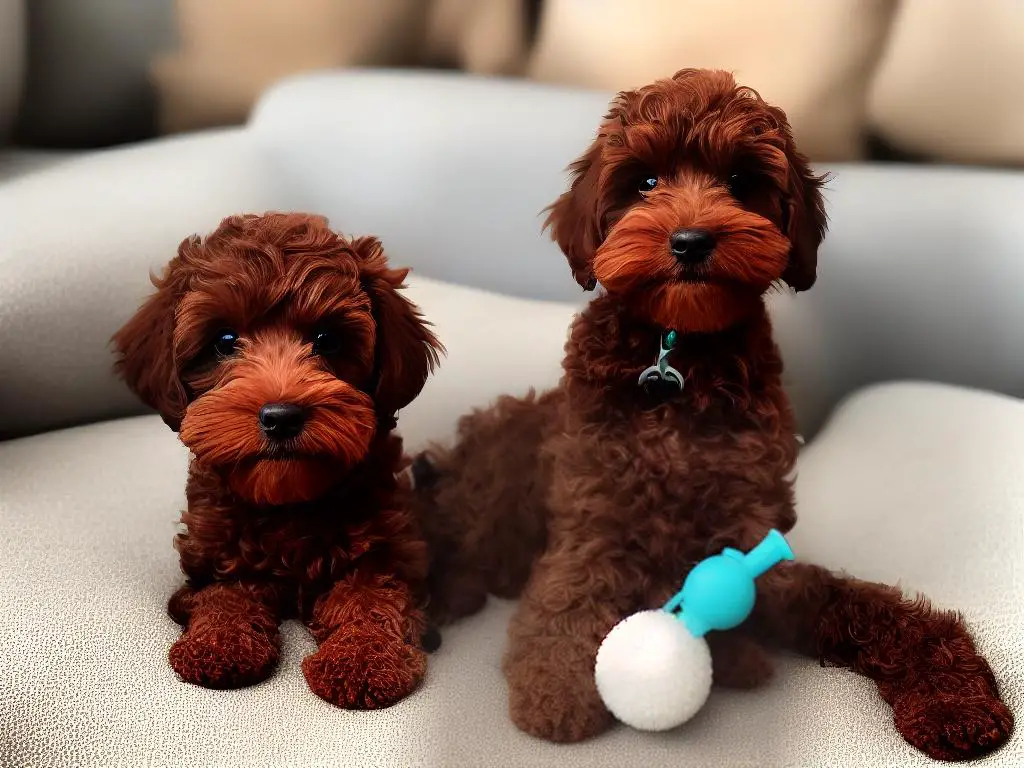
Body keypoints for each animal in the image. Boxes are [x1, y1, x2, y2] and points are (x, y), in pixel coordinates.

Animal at [114, 210, 442, 708]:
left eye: (327, 340)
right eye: (224, 340)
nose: (282, 417)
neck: (287, 500)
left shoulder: (388, 545)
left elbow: (374, 595)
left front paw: (362, 659)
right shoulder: (212, 552)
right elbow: (223, 593)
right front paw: (218, 643)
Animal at [411, 69, 1011, 761]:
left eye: (741, 180)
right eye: (645, 181)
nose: (691, 241)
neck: (679, 355)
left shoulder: (753, 539)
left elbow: (863, 606)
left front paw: (954, 699)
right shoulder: (593, 516)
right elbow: (568, 599)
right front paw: (558, 694)